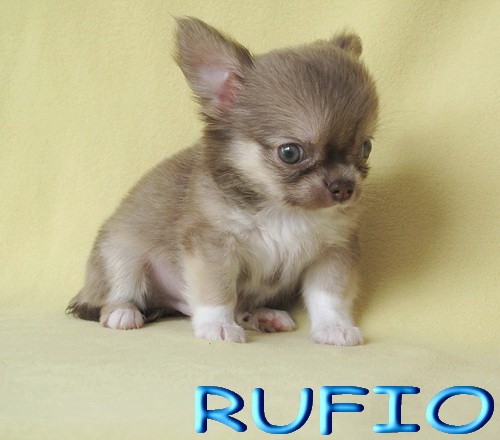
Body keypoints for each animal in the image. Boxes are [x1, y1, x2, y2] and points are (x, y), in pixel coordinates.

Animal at [67, 17, 379, 345]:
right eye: (291, 153)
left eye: (366, 148)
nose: (345, 187)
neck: (284, 212)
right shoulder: (213, 246)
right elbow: (217, 293)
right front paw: (216, 325)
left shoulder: (333, 252)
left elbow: (329, 296)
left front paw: (334, 327)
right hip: (120, 254)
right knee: (115, 292)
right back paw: (122, 312)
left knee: (241, 306)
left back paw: (262, 316)